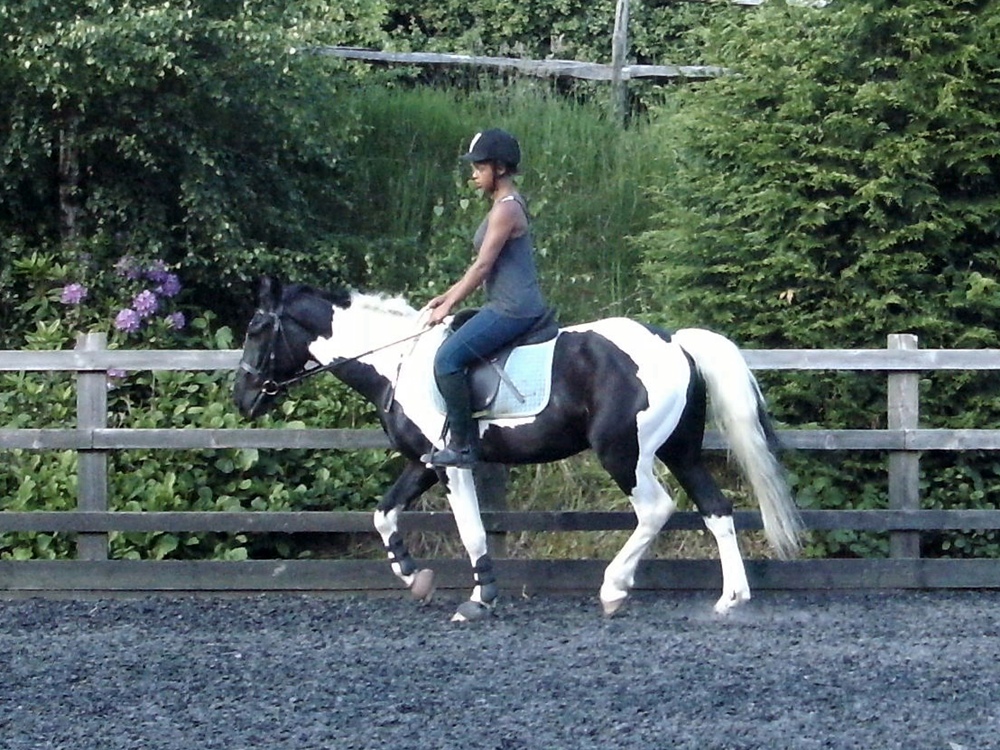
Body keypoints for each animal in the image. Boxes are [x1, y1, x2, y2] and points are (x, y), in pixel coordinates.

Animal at [233, 276, 802, 621]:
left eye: (257, 328)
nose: (242, 399)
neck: (397, 362)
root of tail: (674, 342)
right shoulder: (423, 462)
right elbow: (384, 514)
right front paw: (414, 578)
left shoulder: (452, 466)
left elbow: (471, 531)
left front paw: (479, 599)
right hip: (679, 451)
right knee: (717, 509)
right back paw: (730, 599)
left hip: (622, 452)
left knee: (656, 509)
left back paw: (614, 587)